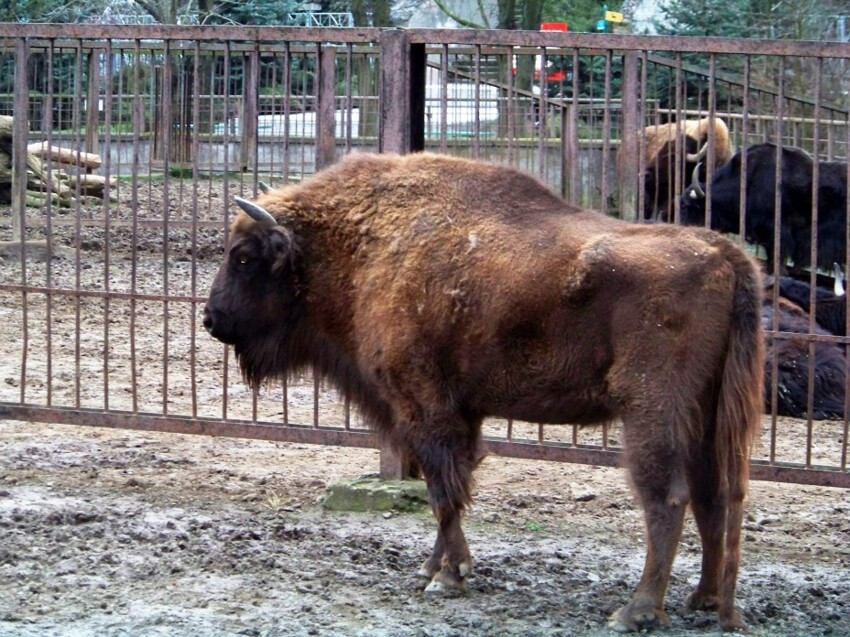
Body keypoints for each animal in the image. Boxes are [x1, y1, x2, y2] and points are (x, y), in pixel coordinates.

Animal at [204, 150, 760, 632]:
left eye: (244, 257)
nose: (212, 319)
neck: (362, 241)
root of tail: (722, 253)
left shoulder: (423, 404)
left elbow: (443, 487)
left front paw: (450, 577)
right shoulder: (460, 411)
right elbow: (452, 484)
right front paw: (433, 568)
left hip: (650, 411)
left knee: (666, 497)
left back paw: (636, 610)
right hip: (708, 413)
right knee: (712, 495)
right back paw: (703, 598)